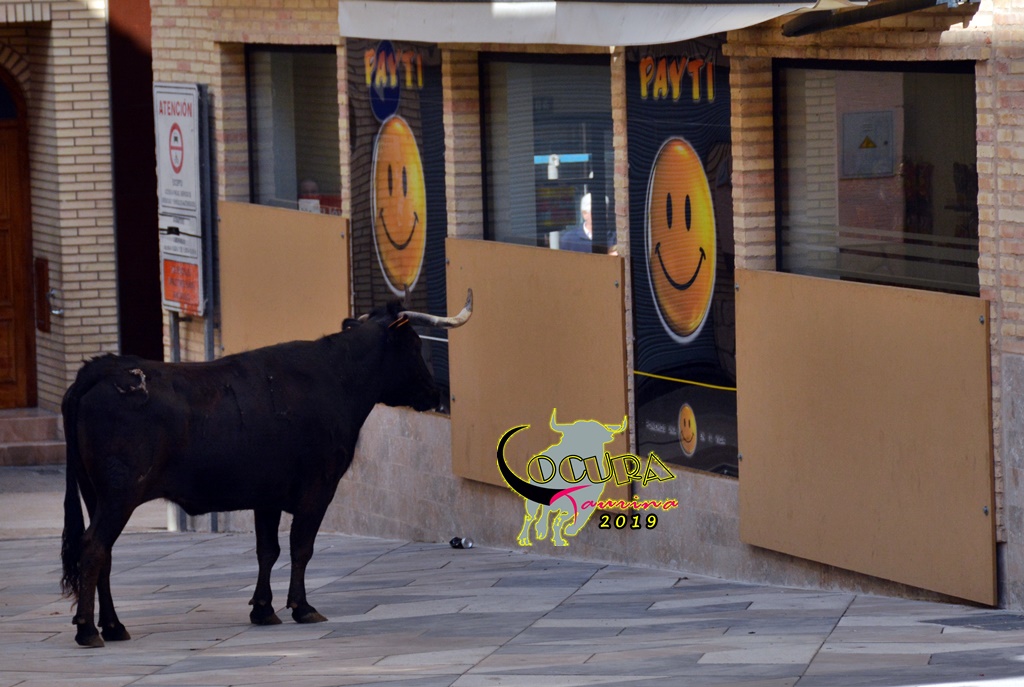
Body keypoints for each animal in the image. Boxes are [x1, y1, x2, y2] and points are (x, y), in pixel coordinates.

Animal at [59, 291, 472, 648]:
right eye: (415, 346)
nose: (434, 394)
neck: (338, 377)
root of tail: (100, 369)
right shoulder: (318, 487)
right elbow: (301, 546)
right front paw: (302, 607)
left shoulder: (267, 495)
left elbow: (267, 550)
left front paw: (262, 609)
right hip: (120, 494)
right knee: (94, 548)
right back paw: (88, 630)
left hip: (96, 495)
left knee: (104, 554)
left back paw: (113, 626)